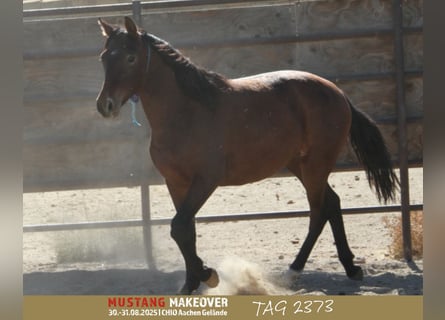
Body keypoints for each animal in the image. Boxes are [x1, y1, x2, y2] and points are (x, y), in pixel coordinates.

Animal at [95, 16, 398, 294]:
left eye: (131, 57)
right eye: (104, 58)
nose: (104, 106)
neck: (187, 112)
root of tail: (338, 93)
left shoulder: (206, 180)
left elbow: (179, 226)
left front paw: (208, 275)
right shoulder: (176, 182)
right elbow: (186, 231)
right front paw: (191, 283)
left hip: (316, 164)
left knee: (319, 211)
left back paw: (293, 271)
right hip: (300, 164)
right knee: (332, 204)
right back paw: (350, 267)